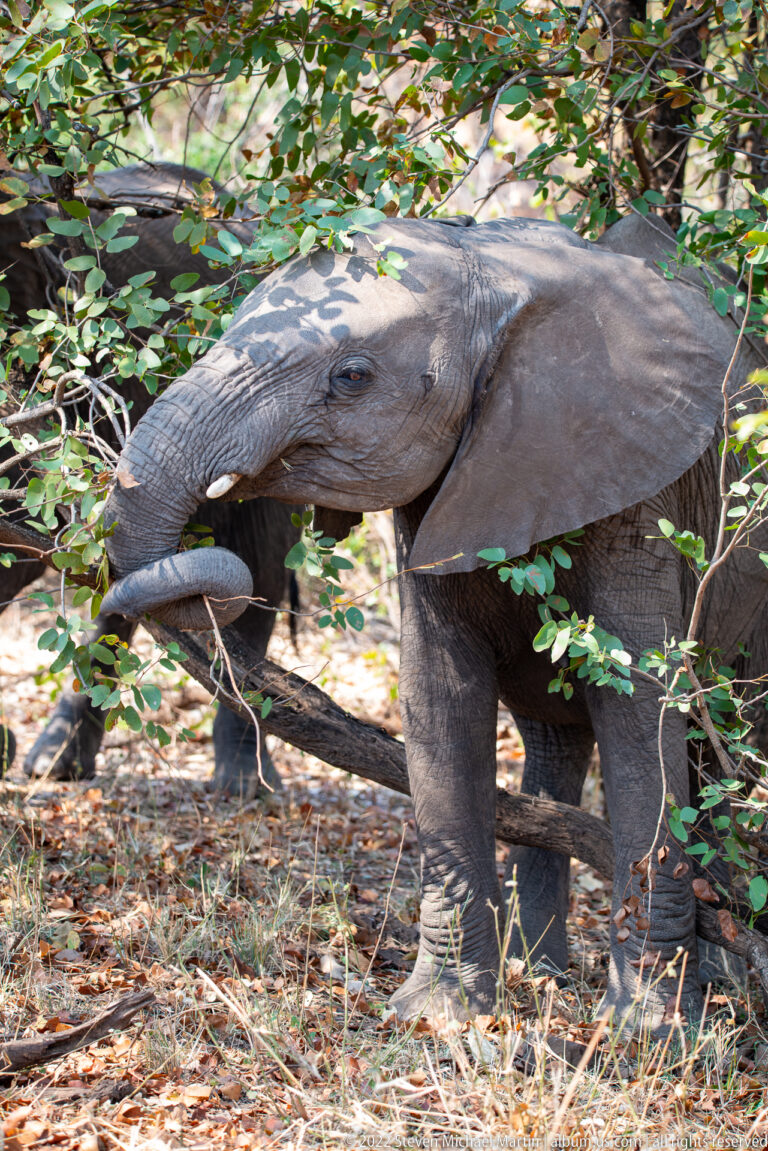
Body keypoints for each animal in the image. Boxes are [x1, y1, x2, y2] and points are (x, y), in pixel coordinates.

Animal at [98, 212, 768, 1029]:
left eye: (352, 376)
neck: (492, 268)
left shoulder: (640, 487)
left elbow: (639, 709)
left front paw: (652, 1031)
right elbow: (442, 697)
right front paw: (443, 1017)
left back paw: (709, 983)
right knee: (561, 740)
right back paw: (543, 972)